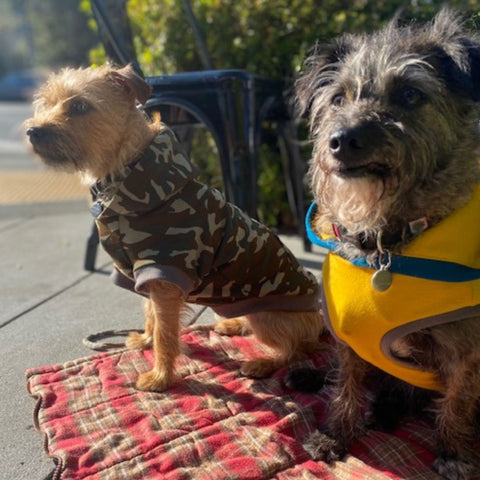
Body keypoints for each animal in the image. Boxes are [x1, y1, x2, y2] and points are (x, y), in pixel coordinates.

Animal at [27, 63, 326, 394]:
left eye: (80, 106)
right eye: (46, 103)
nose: (32, 131)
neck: (126, 172)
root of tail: (319, 317)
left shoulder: (164, 277)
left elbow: (165, 332)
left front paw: (160, 377)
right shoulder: (146, 276)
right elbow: (150, 316)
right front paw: (145, 340)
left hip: (268, 316)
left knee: (296, 347)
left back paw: (263, 361)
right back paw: (233, 324)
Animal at [284, 7, 480, 480]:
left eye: (410, 94)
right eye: (338, 98)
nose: (341, 141)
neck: (384, 246)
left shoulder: (466, 352)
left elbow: (457, 402)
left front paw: (454, 452)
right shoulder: (351, 340)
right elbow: (345, 385)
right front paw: (336, 434)